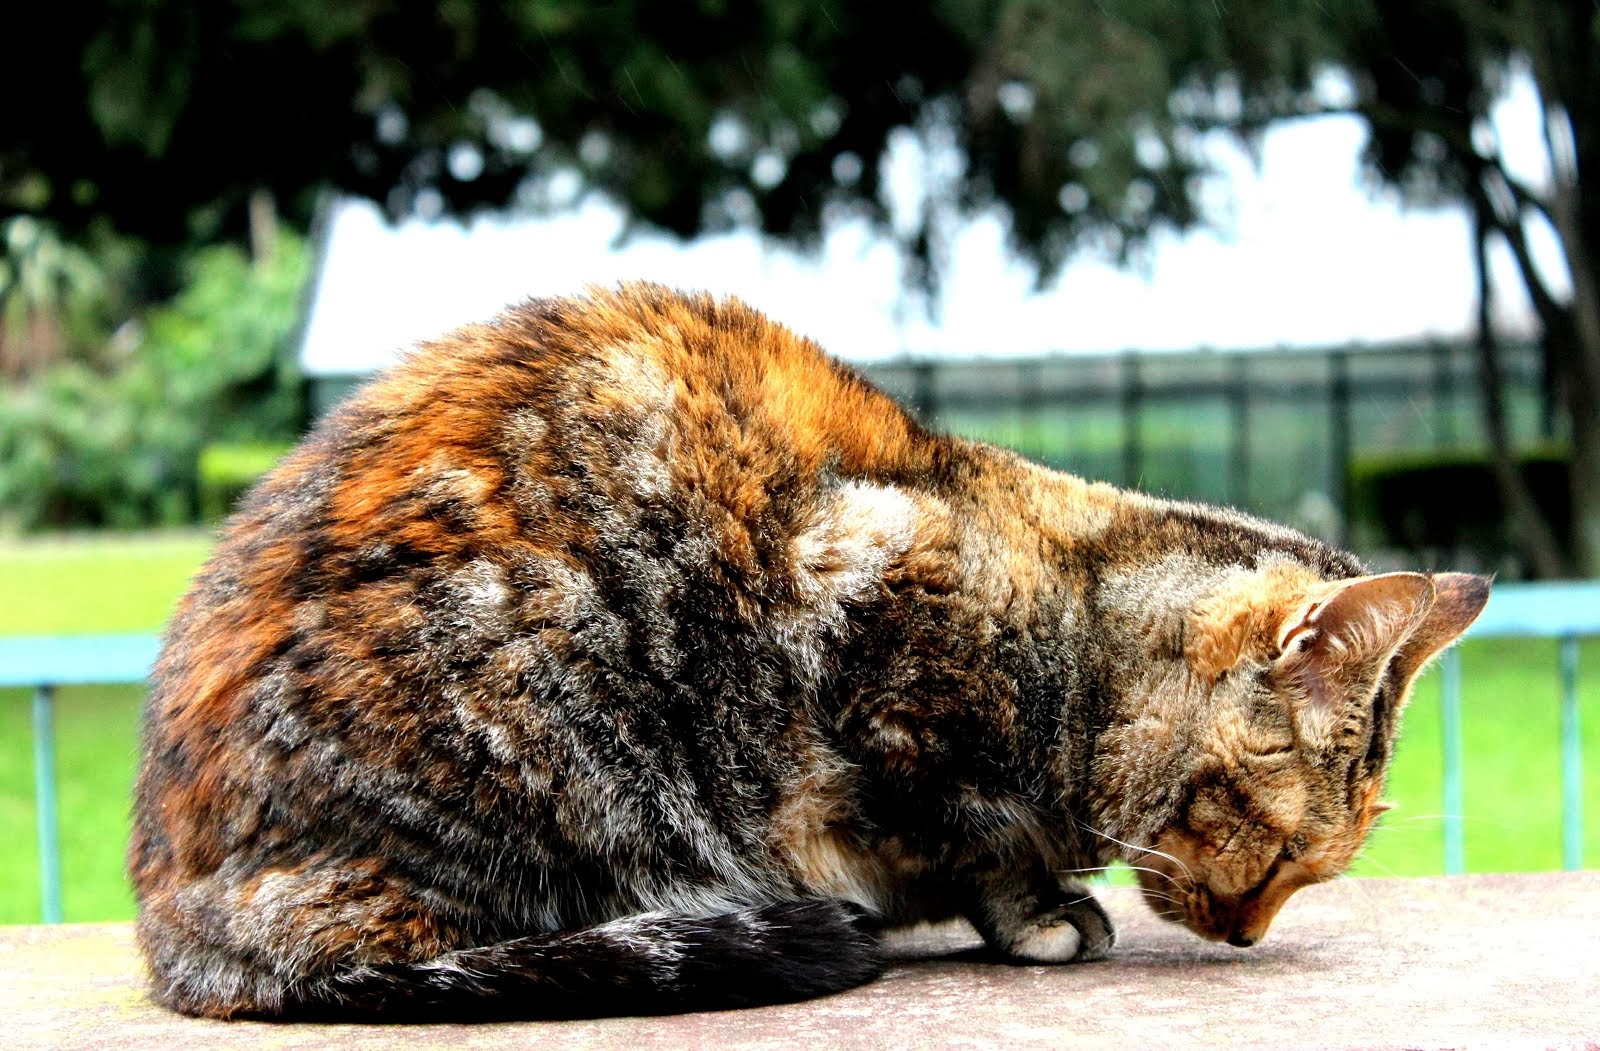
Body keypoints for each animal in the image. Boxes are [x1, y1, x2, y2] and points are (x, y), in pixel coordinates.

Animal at [131, 281, 1491, 1017]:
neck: (1079, 629)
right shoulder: (881, 660)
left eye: (1318, 867)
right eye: (1284, 848)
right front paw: (1039, 912)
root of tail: (170, 910)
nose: (1250, 933)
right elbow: (971, 829)